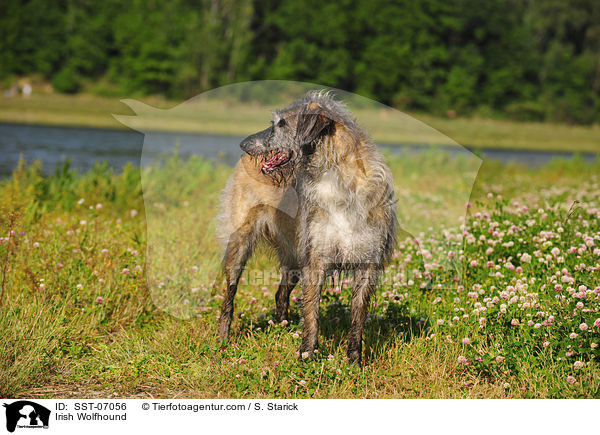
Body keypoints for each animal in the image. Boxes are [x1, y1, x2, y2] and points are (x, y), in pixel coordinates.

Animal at [218, 90, 396, 366]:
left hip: (293, 255)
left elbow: (358, 317)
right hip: (240, 243)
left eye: (281, 124)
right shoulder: (316, 257)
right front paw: (306, 355)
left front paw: (354, 362)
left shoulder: (368, 260)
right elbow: (311, 312)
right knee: (229, 294)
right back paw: (224, 338)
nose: (243, 145)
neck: (337, 181)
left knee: (280, 293)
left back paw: (281, 326)